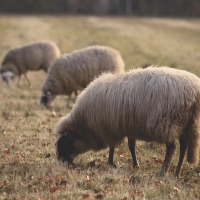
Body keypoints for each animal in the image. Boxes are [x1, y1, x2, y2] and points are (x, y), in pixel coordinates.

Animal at [54, 66, 200, 177]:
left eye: (66, 141)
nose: (61, 163)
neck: (86, 125)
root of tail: (194, 92)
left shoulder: (110, 128)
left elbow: (112, 146)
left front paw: (110, 163)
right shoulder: (128, 127)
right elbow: (131, 146)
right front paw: (135, 165)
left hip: (167, 123)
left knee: (172, 147)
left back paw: (163, 172)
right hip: (183, 123)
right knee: (184, 146)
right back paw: (177, 172)